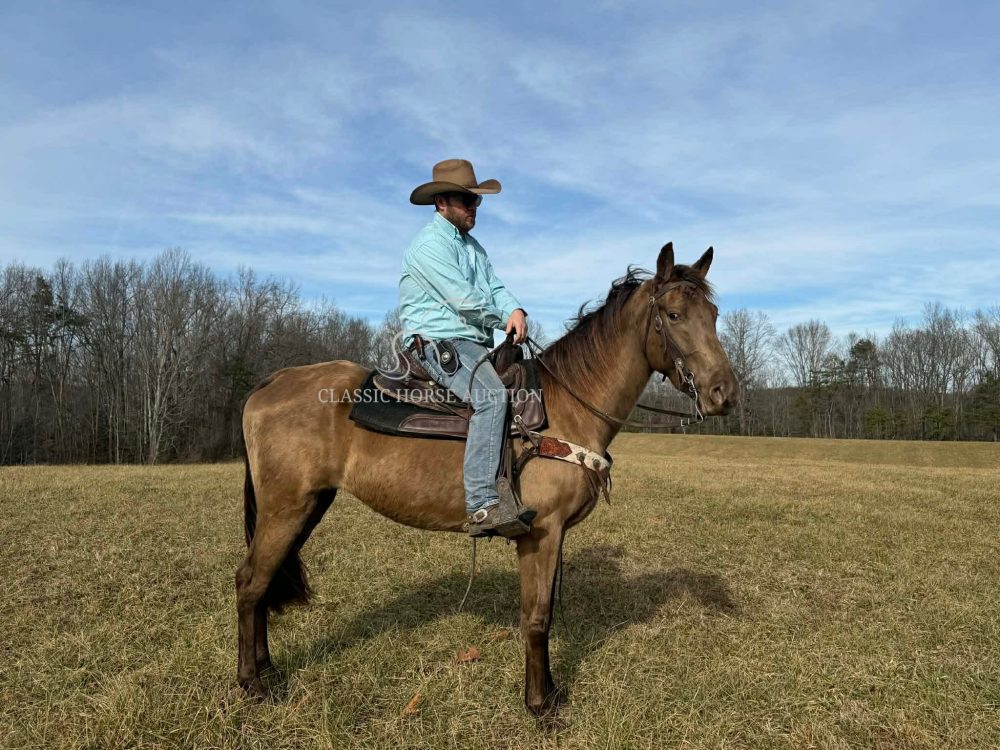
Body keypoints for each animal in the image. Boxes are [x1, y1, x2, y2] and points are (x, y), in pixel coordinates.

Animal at [236, 242, 739, 716]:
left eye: (713, 314)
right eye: (673, 315)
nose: (725, 394)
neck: (567, 406)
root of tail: (271, 382)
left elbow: (544, 612)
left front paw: (550, 693)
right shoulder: (541, 532)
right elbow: (536, 617)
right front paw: (539, 705)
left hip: (309, 505)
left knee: (260, 582)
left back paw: (268, 672)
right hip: (285, 508)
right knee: (250, 583)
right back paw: (252, 684)